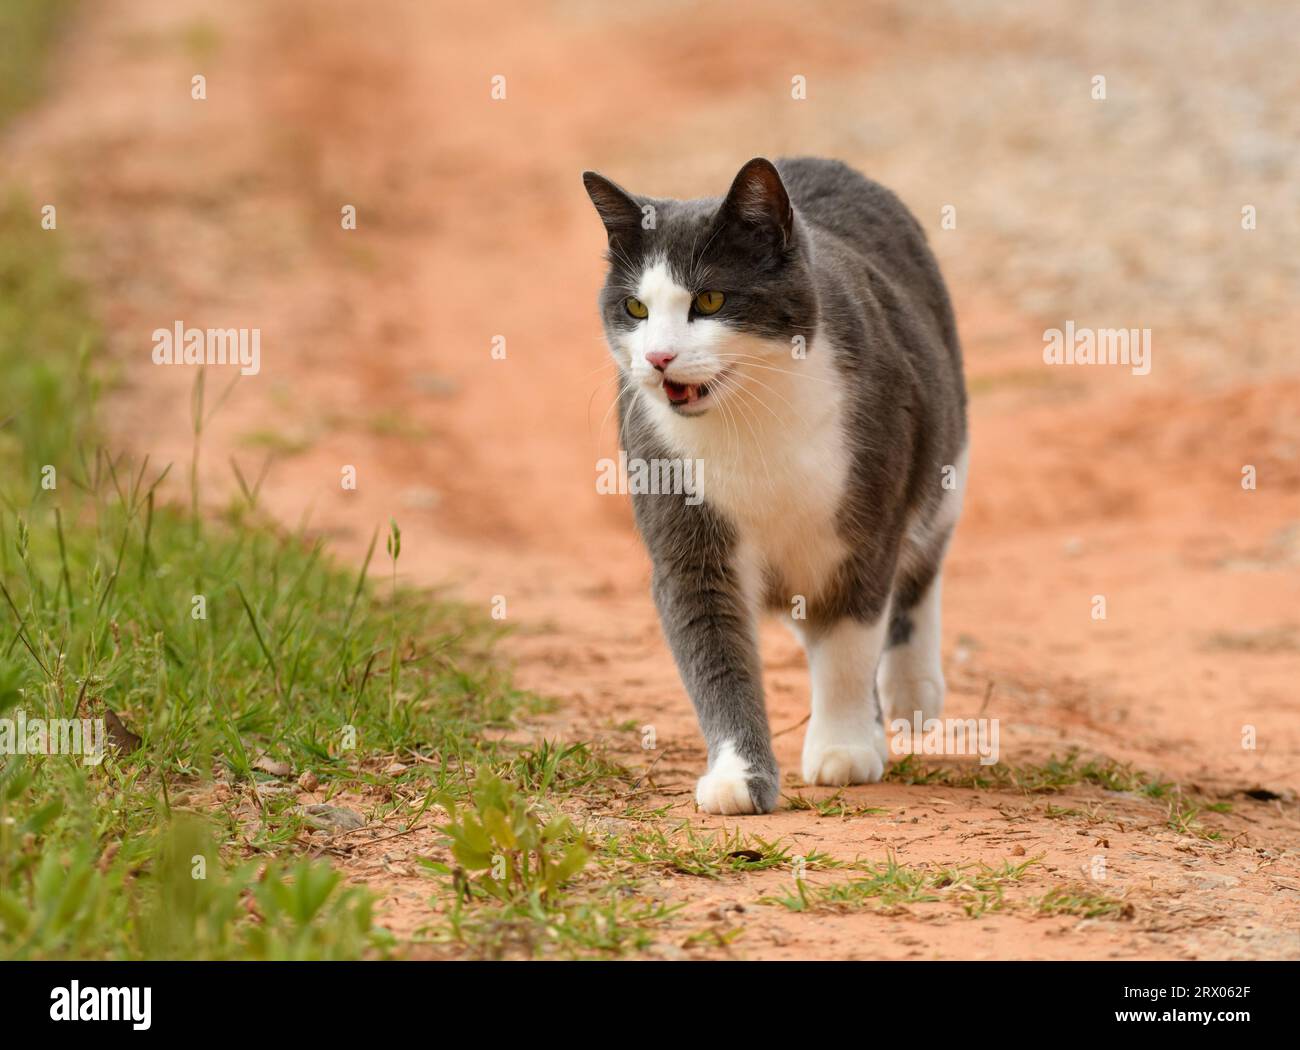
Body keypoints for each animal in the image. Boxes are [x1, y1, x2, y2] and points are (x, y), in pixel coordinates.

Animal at [582, 157, 967, 810]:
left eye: (710, 299)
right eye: (635, 309)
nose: (658, 358)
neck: (750, 422)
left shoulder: (864, 529)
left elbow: (849, 644)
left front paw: (842, 748)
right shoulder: (687, 539)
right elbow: (715, 659)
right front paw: (739, 778)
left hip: (944, 452)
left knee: (921, 567)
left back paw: (911, 688)